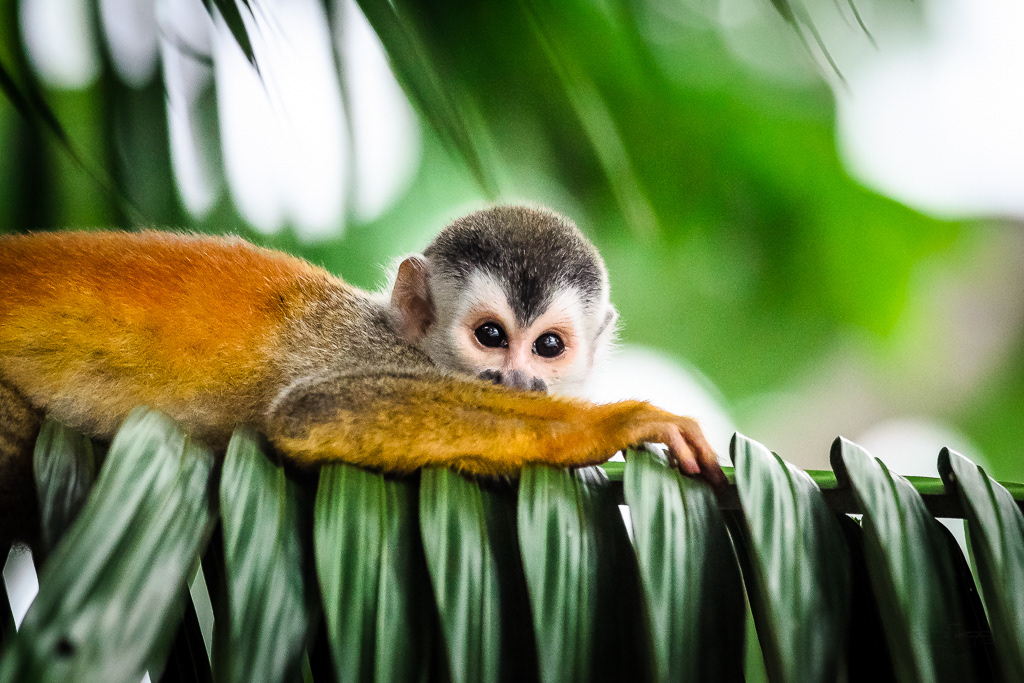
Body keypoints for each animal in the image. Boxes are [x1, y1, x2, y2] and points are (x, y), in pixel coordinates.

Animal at [0, 205, 723, 543]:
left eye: (548, 346)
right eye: (490, 337)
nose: (519, 383)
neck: (409, 343)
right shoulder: (360, 353)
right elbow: (313, 411)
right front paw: (615, 423)